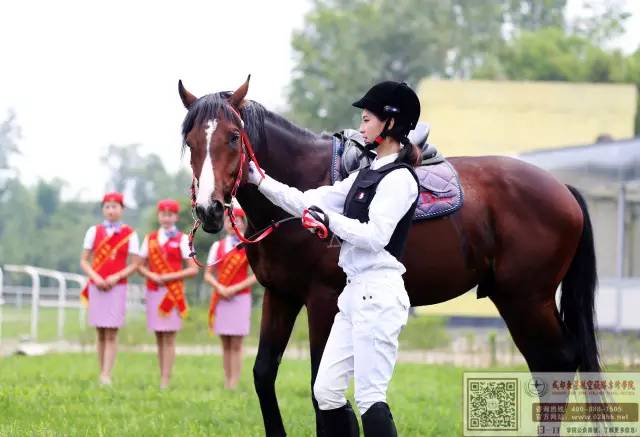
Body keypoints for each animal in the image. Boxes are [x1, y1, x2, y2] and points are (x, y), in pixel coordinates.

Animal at [176, 76, 600, 434]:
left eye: (233, 137)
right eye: (191, 142)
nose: (209, 210)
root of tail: (562, 189)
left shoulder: (322, 300)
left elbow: (317, 386)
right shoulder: (281, 295)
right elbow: (264, 373)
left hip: (526, 299)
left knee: (558, 361)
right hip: (518, 300)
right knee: (550, 366)